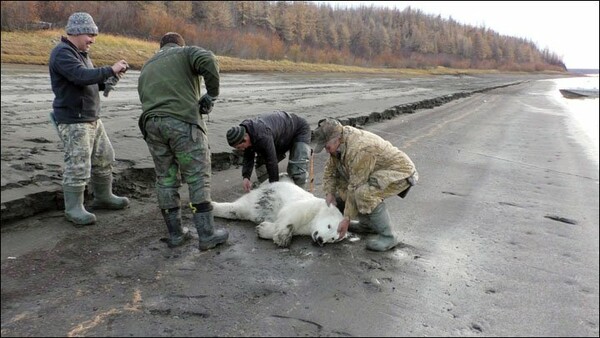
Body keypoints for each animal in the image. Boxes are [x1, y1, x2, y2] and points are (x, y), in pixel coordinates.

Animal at [211, 181, 344, 247]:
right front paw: (283, 238)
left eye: (333, 239)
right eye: (329, 226)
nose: (320, 240)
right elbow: (288, 215)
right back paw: (212, 206)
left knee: (237, 210)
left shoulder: (305, 229)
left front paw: (262, 229)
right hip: (266, 195)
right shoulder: (307, 207)